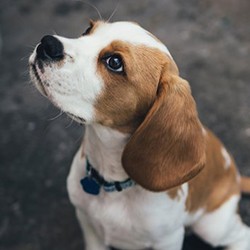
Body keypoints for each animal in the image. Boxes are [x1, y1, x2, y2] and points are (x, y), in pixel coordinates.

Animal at [28, 20, 250, 249]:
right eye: (87, 30)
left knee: (242, 235)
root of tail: (235, 178)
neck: (110, 181)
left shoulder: (168, 240)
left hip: (212, 227)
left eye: (114, 62)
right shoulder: (89, 226)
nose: (48, 43)